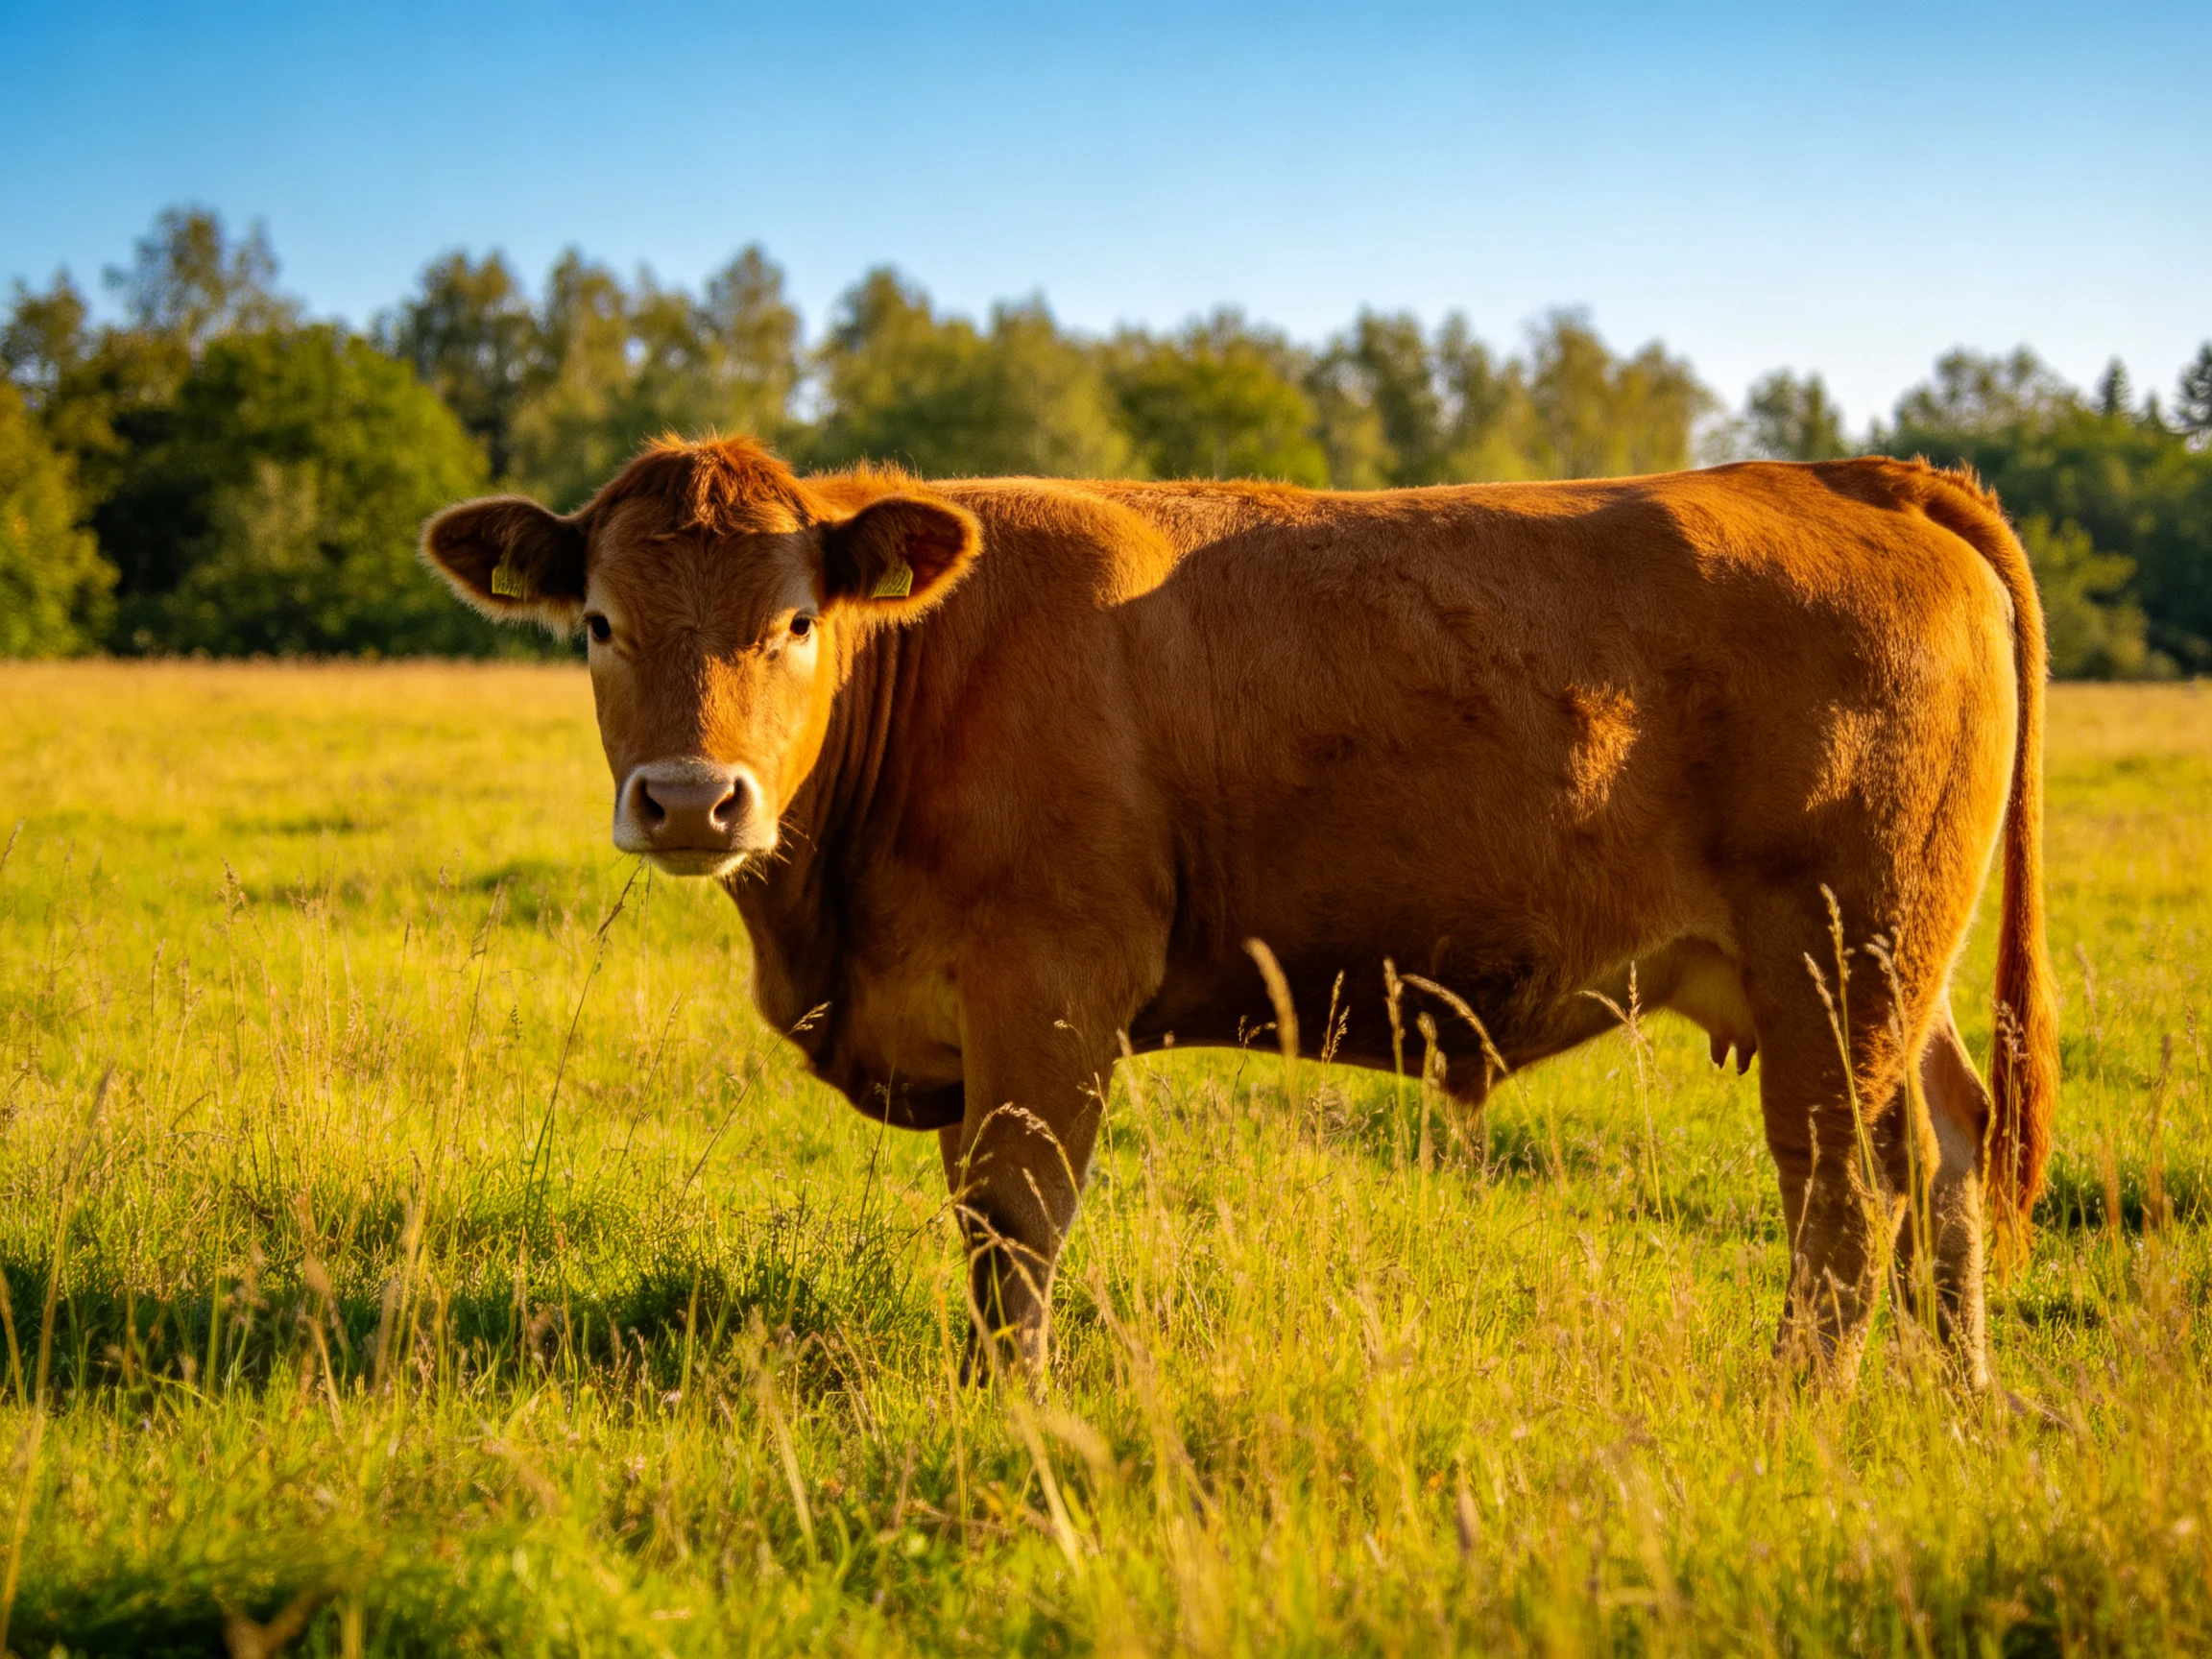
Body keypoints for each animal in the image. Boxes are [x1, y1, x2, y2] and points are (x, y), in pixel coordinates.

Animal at [424, 437, 2056, 1389]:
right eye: (598, 624)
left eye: (798, 621)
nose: (693, 802)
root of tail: (1852, 471)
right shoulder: (961, 1015)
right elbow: (977, 1227)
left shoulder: (1053, 986)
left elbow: (1017, 1220)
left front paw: (1011, 1415)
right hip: (1891, 964)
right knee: (1951, 1146)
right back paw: (1956, 1395)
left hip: (1841, 960)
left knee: (1844, 1200)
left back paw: (1799, 1412)